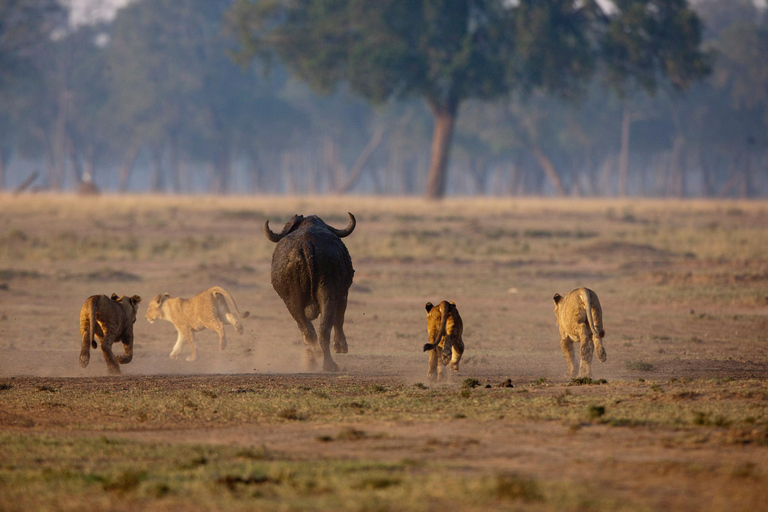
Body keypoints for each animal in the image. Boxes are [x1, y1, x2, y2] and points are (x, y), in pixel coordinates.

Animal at [264, 213, 356, 372]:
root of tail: (307, 245)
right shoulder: (343, 294)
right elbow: (340, 319)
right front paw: (341, 346)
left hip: (293, 302)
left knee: (311, 331)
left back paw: (318, 360)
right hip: (328, 294)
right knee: (322, 329)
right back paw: (327, 363)